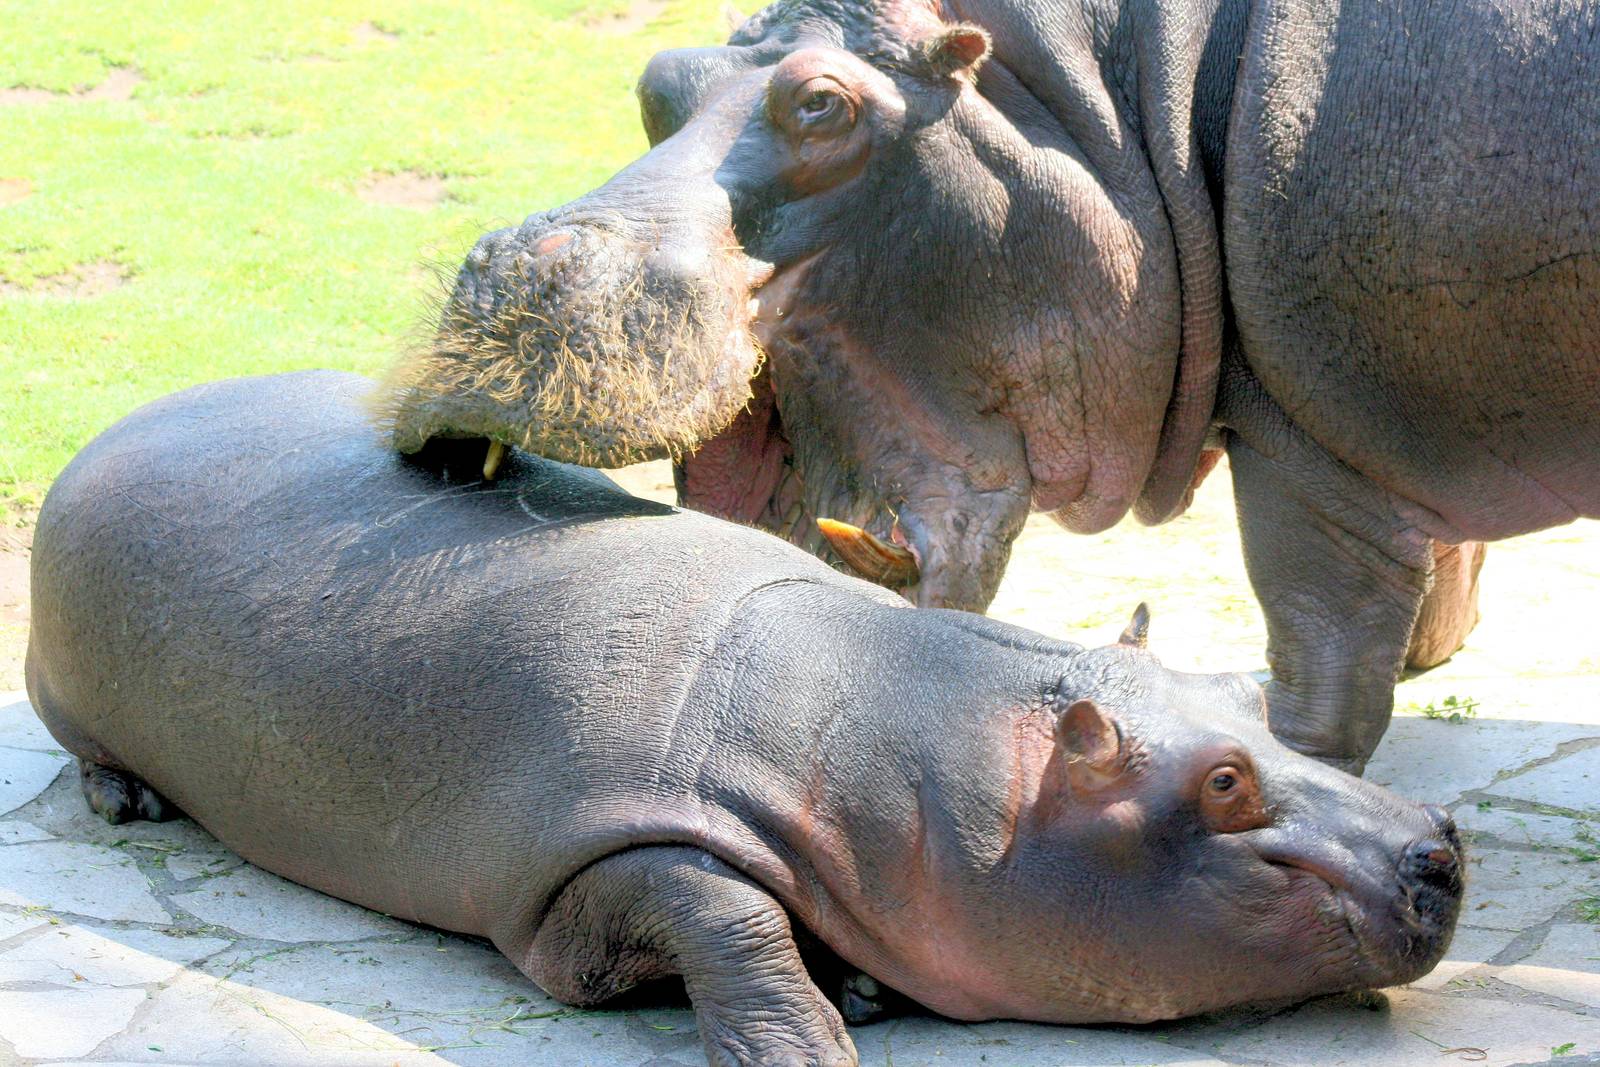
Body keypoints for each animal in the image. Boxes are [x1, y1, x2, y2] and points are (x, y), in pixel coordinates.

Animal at [28, 372, 1462, 1065]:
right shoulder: (589, 853)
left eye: (1246, 698)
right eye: (1222, 782)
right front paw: (812, 1038)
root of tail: (122, 420)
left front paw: (859, 989)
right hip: (65, 688)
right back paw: (129, 798)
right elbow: (723, 907)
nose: (1439, 847)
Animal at [376, 0, 1600, 773]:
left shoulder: (1306, 440)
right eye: (657, 79)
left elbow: (1323, 669)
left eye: (821, 104)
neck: (1113, 104)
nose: (511, 266)